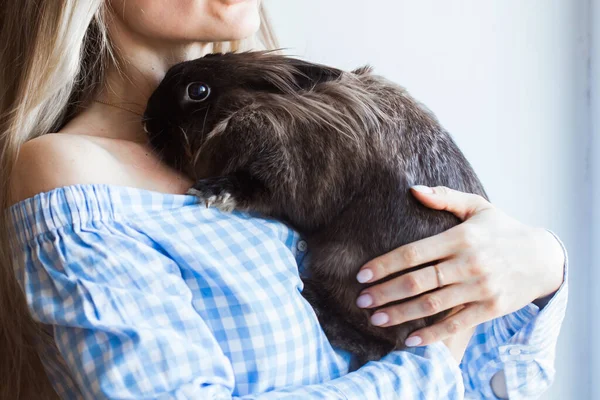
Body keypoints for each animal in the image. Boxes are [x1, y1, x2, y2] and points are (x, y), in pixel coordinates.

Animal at [144, 50, 488, 366]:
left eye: (198, 91)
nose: (147, 122)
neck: (260, 109)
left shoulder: (285, 180)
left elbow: (255, 189)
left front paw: (214, 192)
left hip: (344, 265)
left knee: (387, 343)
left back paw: (316, 302)